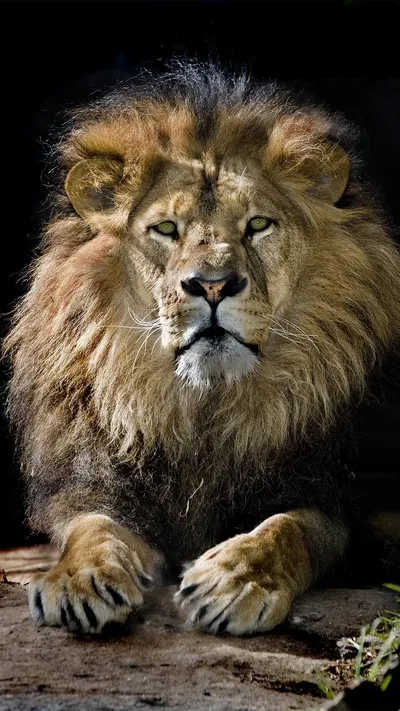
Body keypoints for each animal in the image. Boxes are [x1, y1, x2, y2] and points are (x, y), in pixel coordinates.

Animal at [4, 62, 400, 637]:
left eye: (257, 225)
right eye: (167, 229)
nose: (212, 285)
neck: (204, 407)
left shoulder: (332, 496)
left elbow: (288, 529)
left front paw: (233, 581)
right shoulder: (100, 485)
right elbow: (94, 529)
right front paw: (81, 578)